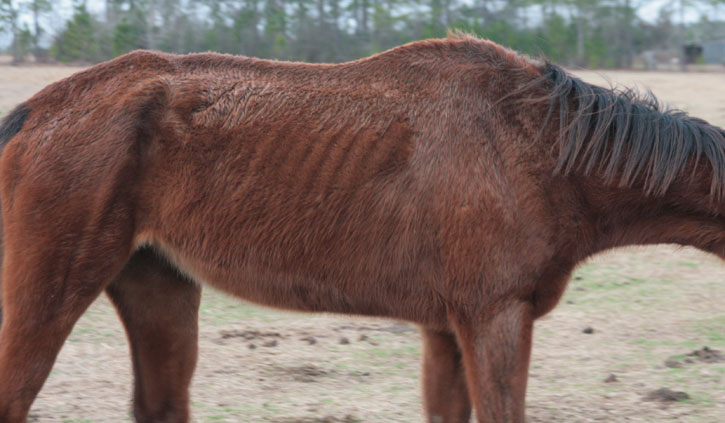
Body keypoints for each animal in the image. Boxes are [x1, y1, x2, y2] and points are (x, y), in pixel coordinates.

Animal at [0, 35, 723, 423]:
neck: (536, 146)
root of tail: (36, 111)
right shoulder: (495, 317)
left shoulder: (447, 328)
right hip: (48, 297)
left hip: (158, 288)